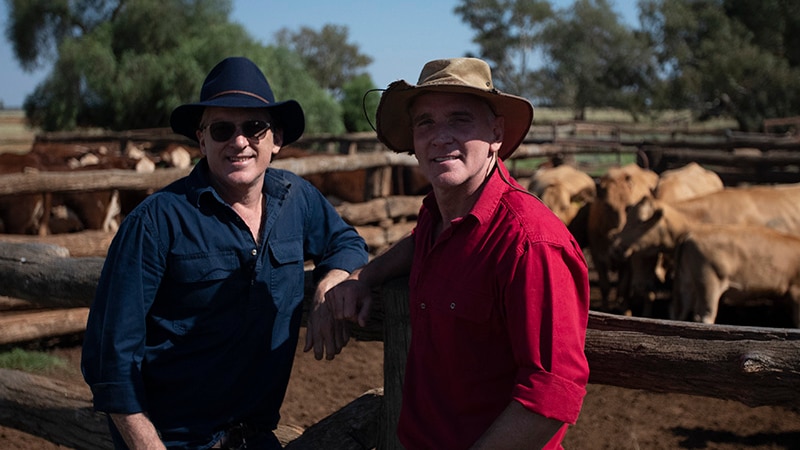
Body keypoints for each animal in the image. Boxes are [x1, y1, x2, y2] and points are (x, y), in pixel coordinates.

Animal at [668, 225, 800, 326]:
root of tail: (691, 234)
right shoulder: (795, 290)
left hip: (686, 283)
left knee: (681, 313)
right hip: (709, 282)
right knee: (706, 314)